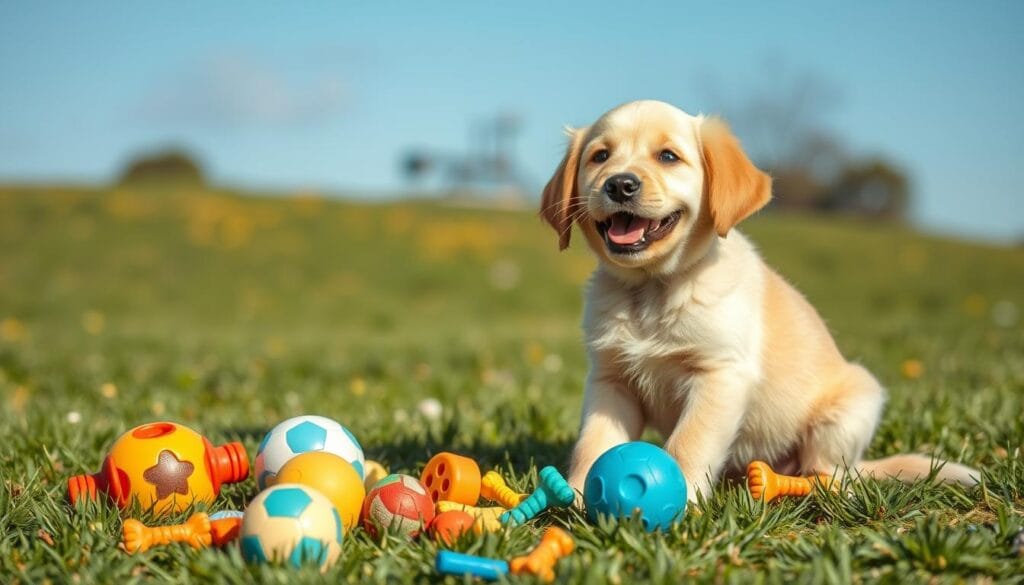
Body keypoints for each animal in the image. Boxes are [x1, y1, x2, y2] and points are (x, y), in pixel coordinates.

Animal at [540, 100, 978, 504]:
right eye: (600, 156)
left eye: (668, 156)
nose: (619, 184)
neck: (653, 287)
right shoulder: (611, 379)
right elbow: (594, 441)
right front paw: (576, 497)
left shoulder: (721, 374)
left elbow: (688, 442)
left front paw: (681, 503)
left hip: (853, 405)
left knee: (830, 472)